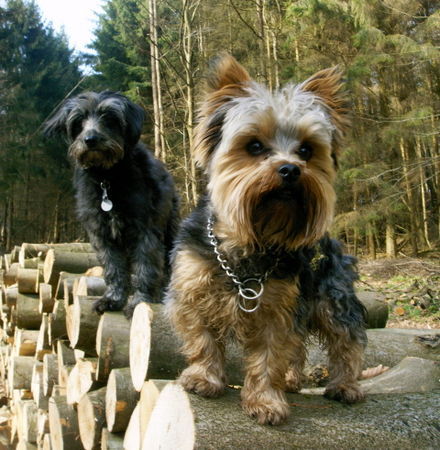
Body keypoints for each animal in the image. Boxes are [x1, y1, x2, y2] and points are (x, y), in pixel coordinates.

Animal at [45, 90, 180, 316]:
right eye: (79, 121)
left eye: (109, 118)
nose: (90, 139)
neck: (108, 177)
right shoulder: (102, 234)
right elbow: (113, 269)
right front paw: (113, 300)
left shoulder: (145, 231)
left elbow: (145, 267)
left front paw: (140, 302)